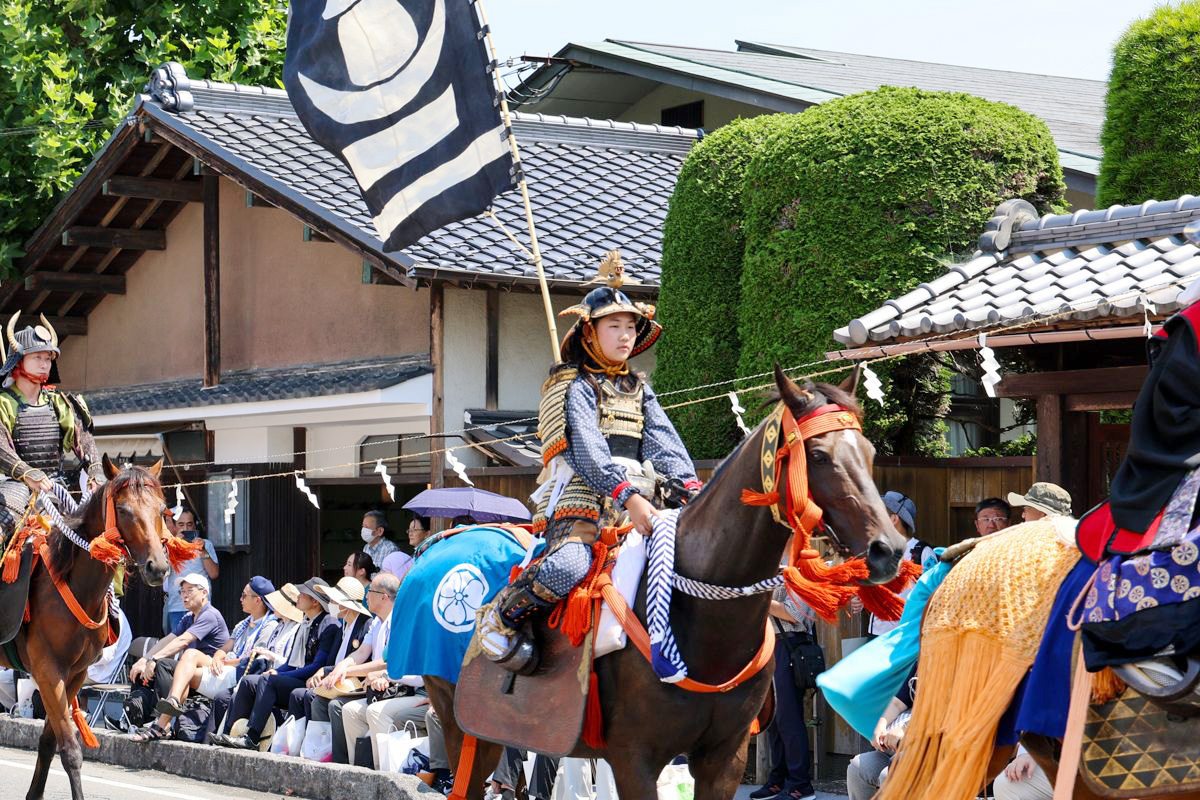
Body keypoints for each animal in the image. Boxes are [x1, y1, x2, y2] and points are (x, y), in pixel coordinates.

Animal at [0, 455, 175, 800]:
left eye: (162, 509)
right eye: (124, 510)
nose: (157, 567)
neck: (71, 581)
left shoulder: (74, 674)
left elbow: (49, 743)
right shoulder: (48, 669)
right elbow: (70, 750)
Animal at [427, 369, 902, 800]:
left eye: (869, 451)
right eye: (818, 455)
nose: (889, 549)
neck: (708, 623)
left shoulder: (724, 757)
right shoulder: (633, 756)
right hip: (457, 717)